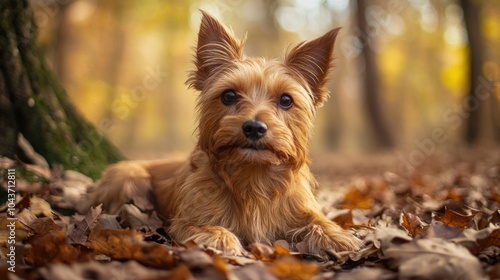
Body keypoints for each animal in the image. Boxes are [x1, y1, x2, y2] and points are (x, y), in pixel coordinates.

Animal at [84, 10, 362, 256]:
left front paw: (336, 236)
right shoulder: (187, 220)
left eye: (286, 100)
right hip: (130, 177)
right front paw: (222, 240)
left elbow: (320, 220)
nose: (254, 127)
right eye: (228, 95)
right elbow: (207, 228)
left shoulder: (302, 209)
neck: (253, 176)